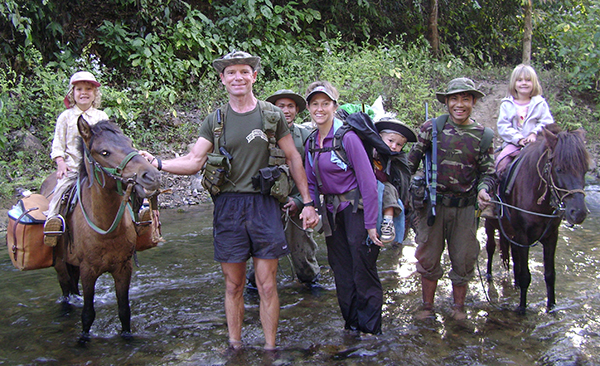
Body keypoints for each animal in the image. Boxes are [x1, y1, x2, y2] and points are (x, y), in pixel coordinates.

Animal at [41, 117, 161, 344]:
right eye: (104, 152)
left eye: (129, 142)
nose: (152, 176)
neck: (106, 229)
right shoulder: (88, 270)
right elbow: (88, 314)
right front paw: (83, 341)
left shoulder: (123, 268)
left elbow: (124, 311)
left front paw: (127, 337)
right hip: (60, 264)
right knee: (67, 292)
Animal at [486, 123, 588, 314]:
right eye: (559, 169)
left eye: (585, 170)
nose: (579, 213)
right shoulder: (523, 235)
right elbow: (526, 275)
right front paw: (521, 308)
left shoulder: (551, 236)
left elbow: (550, 274)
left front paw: (552, 306)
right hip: (491, 223)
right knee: (491, 248)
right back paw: (489, 275)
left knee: (513, 256)